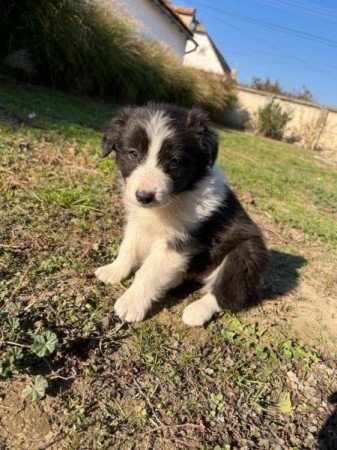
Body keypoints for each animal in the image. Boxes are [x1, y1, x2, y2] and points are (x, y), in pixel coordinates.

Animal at [94, 103, 268, 326]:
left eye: (175, 161)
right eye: (133, 154)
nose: (144, 196)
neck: (175, 198)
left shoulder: (180, 242)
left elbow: (149, 272)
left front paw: (131, 303)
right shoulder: (137, 223)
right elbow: (128, 248)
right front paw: (114, 270)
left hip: (248, 253)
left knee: (227, 292)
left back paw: (196, 310)